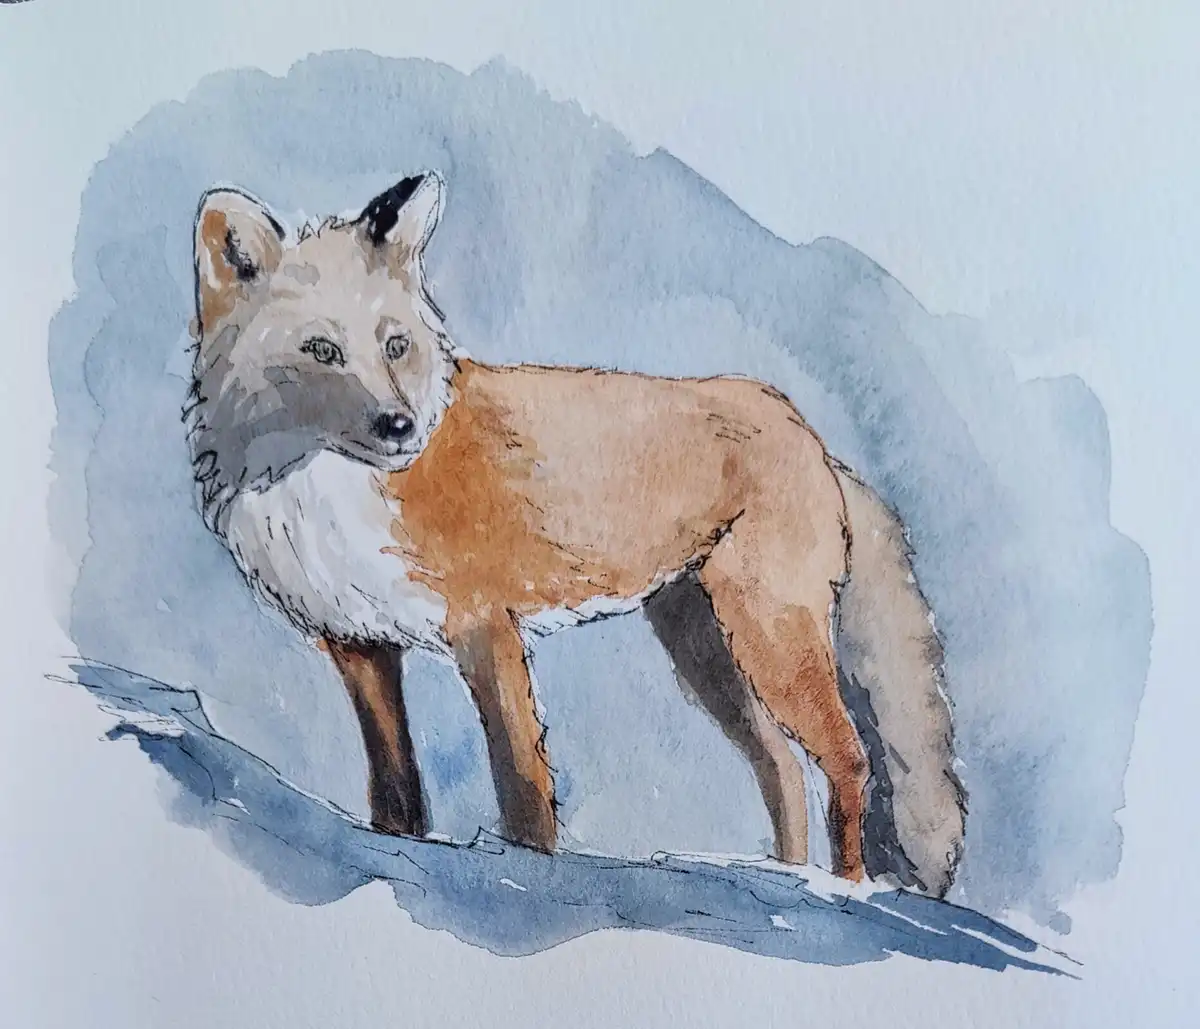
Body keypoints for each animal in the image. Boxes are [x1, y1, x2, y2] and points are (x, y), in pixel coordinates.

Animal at [186, 171, 966, 896]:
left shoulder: (487, 627)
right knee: (780, 766)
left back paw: (845, 890)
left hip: (769, 636)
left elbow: (522, 785)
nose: (399, 426)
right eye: (321, 349)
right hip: (704, 646)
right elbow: (395, 791)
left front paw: (529, 877)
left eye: (395, 345)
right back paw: (783, 875)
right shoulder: (360, 644)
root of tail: (802, 425)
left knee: (848, 757)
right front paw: (397, 849)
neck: (325, 490)